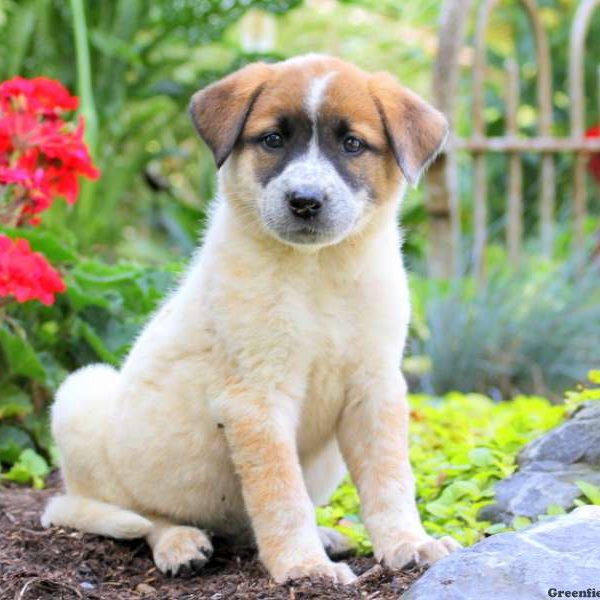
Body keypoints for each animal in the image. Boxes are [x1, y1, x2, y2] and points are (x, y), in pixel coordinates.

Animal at [42, 55, 462, 580]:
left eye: (352, 144)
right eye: (273, 139)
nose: (305, 200)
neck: (317, 270)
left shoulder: (375, 387)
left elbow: (390, 479)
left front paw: (409, 543)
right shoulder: (257, 398)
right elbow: (281, 494)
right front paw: (306, 568)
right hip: (82, 395)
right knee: (138, 513)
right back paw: (180, 542)